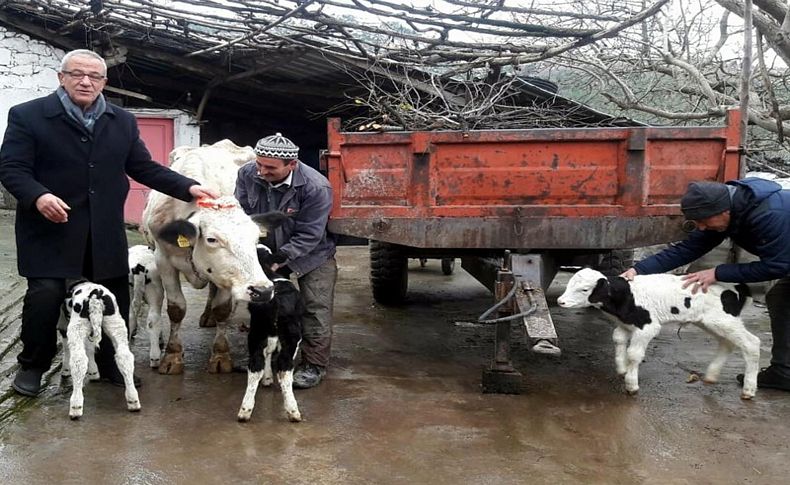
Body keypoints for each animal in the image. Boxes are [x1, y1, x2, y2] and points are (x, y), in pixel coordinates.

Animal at [60, 282, 141, 418]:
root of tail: (95, 295)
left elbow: (68, 346)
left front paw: (65, 370)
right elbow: (90, 348)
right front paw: (94, 372)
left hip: (77, 326)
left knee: (78, 361)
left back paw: (76, 407)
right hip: (116, 323)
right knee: (124, 357)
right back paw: (133, 400)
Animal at [556, 266, 760, 398]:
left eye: (584, 289)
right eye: (569, 284)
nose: (560, 301)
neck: (627, 296)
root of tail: (738, 286)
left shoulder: (648, 326)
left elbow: (634, 354)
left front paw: (631, 384)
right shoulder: (625, 324)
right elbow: (618, 340)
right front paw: (621, 368)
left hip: (723, 320)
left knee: (751, 343)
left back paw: (749, 389)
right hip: (711, 322)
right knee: (727, 342)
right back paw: (711, 375)